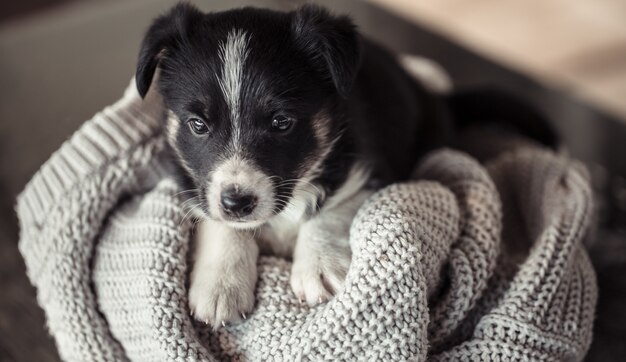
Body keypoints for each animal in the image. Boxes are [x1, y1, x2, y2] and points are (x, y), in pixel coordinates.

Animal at [136, 2, 448, 326]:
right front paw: (220, 284)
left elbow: (331, 209)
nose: (237, 203)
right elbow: (221, 223)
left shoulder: (369, 171)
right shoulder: (196, 187)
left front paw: (319, 265)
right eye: (198, 125)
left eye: (281, 122)